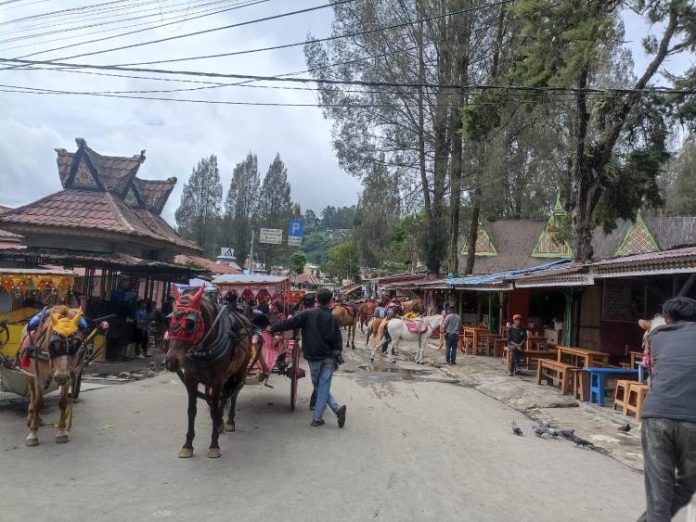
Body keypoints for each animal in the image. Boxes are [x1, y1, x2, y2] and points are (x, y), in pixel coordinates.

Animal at [21, 304, 85, 442]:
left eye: (76, 344)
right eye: (54, 343)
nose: (61, 377)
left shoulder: (69, 375)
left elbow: (63, 402)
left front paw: (62, 431)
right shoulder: (39, 375)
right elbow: (38, 402)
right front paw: (33, 434)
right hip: (29, 374)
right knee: (33, 394)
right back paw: (31, 416)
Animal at [164, 284, 254, 456]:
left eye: (190, 324)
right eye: (170, 320)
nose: (171, 361)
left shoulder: (218, 379)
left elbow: (215, 406)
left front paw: (214, 445)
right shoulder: (191, 379)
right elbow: (193, 410)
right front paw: (188, 445)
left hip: (239, 369)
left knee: (233, 393)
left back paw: (229, 421)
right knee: (222, 397)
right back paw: (220, 422)